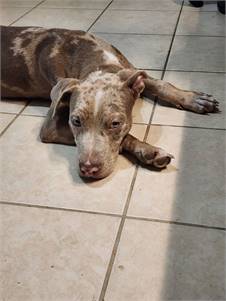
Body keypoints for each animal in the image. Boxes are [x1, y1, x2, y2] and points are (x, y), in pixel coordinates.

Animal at [0, 25, 219, 178]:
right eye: (75, 121)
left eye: (115, 123)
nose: (88, 169)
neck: (97, 60)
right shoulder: (51, 127)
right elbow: (127, 137)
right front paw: (150, 151)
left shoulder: (132, 72)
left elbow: (161, 84)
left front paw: (193, 99)